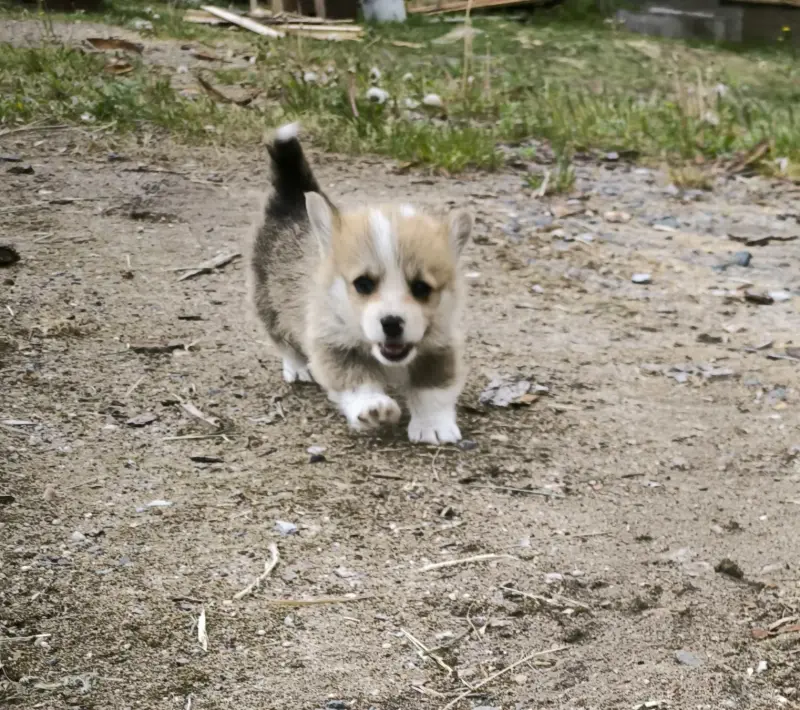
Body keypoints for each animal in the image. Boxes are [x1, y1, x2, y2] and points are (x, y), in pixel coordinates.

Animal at [250, 122, 472, 444]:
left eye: (421, 288)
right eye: (363, 284)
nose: (392, 323)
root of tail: (291, 202)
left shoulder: (439, 345)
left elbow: (434, 390)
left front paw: (434, 425)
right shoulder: (331, 343)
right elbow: (355, 380)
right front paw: (373, 406)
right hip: (267, 301)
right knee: (282, 339)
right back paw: (298, 367)